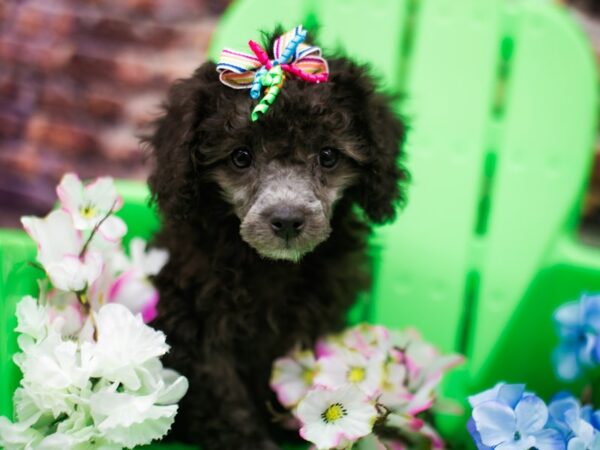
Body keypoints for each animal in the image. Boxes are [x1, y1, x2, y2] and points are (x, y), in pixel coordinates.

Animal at [146, 30, 408, 450]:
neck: (269, 267)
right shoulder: (196, 327)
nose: (286, 220)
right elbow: (223, 397)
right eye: (240, 157)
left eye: (329, 156)